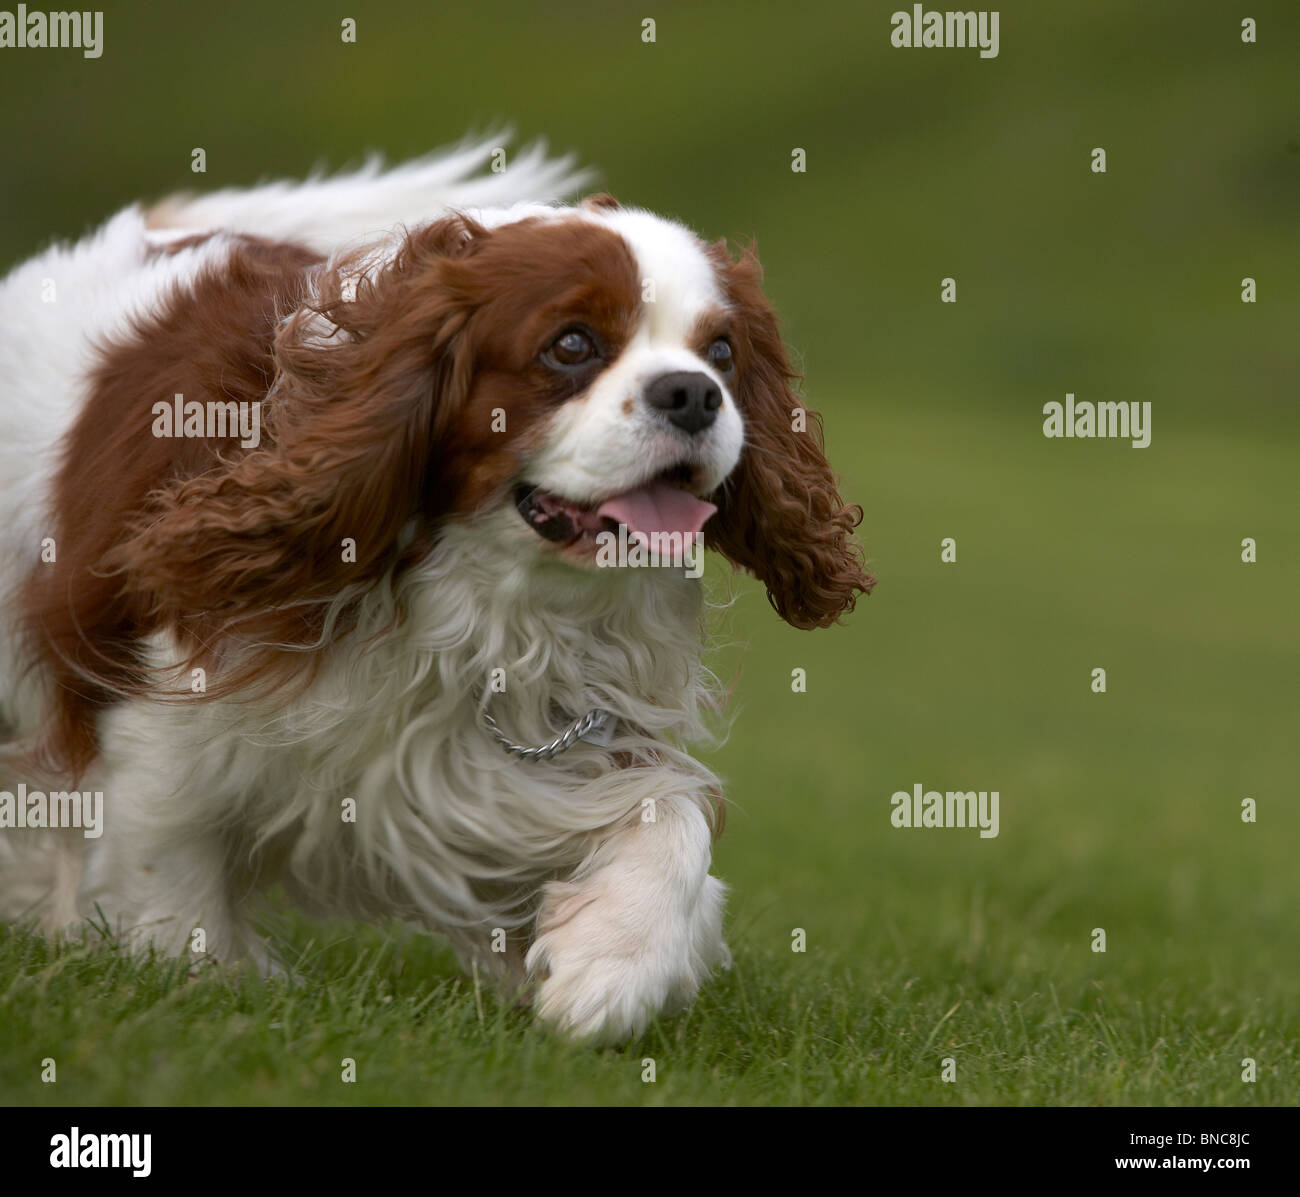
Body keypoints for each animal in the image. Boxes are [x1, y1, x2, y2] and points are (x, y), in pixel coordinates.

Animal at [2, 137, 873, 1034]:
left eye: (723, 352)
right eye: (571, 345)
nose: (694, 392)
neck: (485, 595)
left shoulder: (547, 751)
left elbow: (673, 821)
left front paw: (613, 964)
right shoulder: (163, 725)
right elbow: (170, 882)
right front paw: (202, 980)